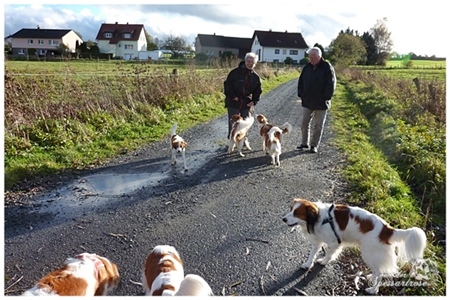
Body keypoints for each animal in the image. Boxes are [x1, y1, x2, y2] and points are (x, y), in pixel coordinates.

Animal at [284, 198, 428, 294]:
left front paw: (324, 262)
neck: (320, 217)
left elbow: (329, 254)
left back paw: (373, 290)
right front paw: (307, 265)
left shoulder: (334, 242)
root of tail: (387, 229)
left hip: (368, 253)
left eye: (296, 213)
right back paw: (371, 277)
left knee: (380, 273)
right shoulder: (318, 240)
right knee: (377, 271)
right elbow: (312, 254)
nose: (283, 219)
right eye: (291, 209)